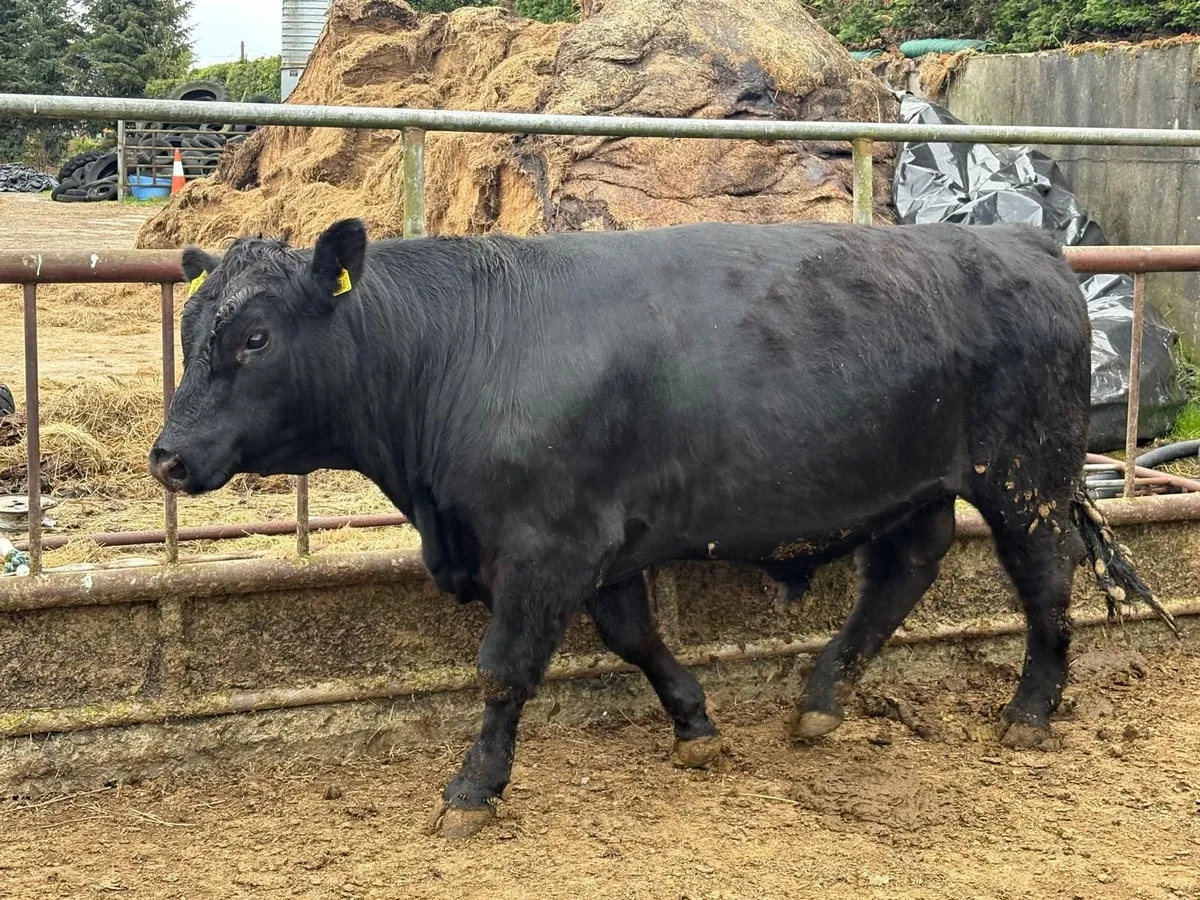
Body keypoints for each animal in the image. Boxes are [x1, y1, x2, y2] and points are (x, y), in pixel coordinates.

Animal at [150, 218, 1174, 839]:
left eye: (254, 338)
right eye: (192, 333)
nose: (167, 457)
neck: (461, 348)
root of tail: (1024, 239)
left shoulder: (546, 547)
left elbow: (504, 672)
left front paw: (472, 792)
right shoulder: (600, 548)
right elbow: (637, 640)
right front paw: (696, 725)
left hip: (1024, 478)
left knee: (1044, 580)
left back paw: (1030, 712)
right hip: (916, 482)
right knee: (904, 571)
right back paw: (822, 699)